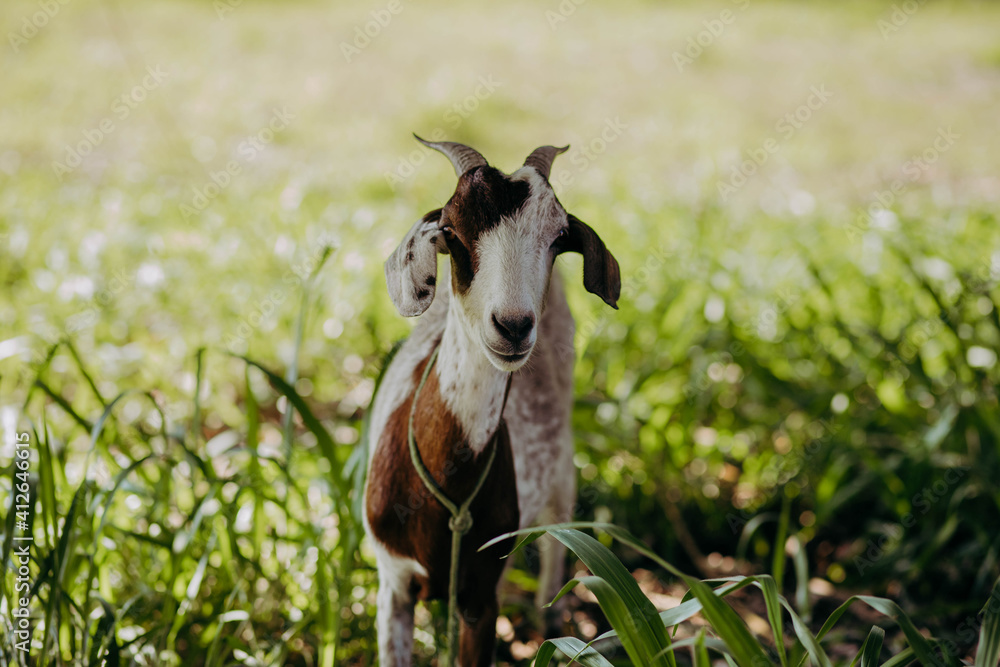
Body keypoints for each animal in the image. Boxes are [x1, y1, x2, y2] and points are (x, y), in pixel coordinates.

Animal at [363, 136, 621, 666]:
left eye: (558, 238)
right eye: (451, 232)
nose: (513, 326)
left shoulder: (481, 598)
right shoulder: (392, 584)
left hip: (561, 472)